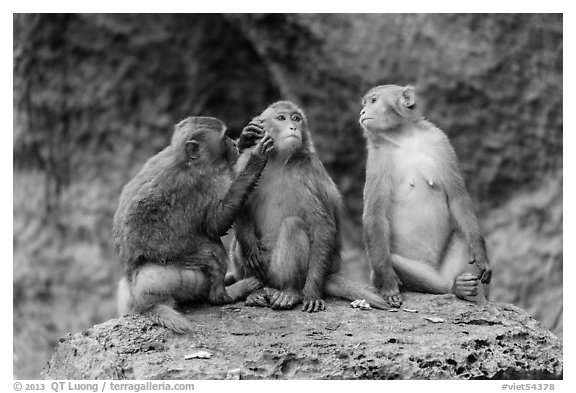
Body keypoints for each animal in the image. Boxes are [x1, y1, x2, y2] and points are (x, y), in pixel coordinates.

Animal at [115, 115, 274, 332]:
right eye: (224, 137)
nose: (233, 144)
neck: (186, 161)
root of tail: (139, 299)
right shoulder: (205, 182)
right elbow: (215, 224)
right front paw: (255, 160)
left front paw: (246, 138)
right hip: (177, 276)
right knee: (212, 251)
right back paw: (224, 294)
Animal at [225, 101, 392, 312]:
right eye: (281, 118)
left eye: (296, 118)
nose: (293, 127)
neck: (278, 160)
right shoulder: (245, 161)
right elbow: (237, 206)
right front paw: (246, 137)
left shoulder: (307, 172)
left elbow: (322, 226)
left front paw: (311, 293)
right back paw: (254, 289)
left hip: (282, 273)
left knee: (293, 225)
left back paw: (291, 292)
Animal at [360, 85, 490, 306]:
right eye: (366, 102)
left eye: (374, 101)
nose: (362, 112)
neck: (403, 139)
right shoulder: (378, 158)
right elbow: (375, 216)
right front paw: (388, 284)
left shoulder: (439, 140)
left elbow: (457, 197)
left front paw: (481, 254)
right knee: (395, 262)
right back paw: (454, 288)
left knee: (462, 233)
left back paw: (464, 289)